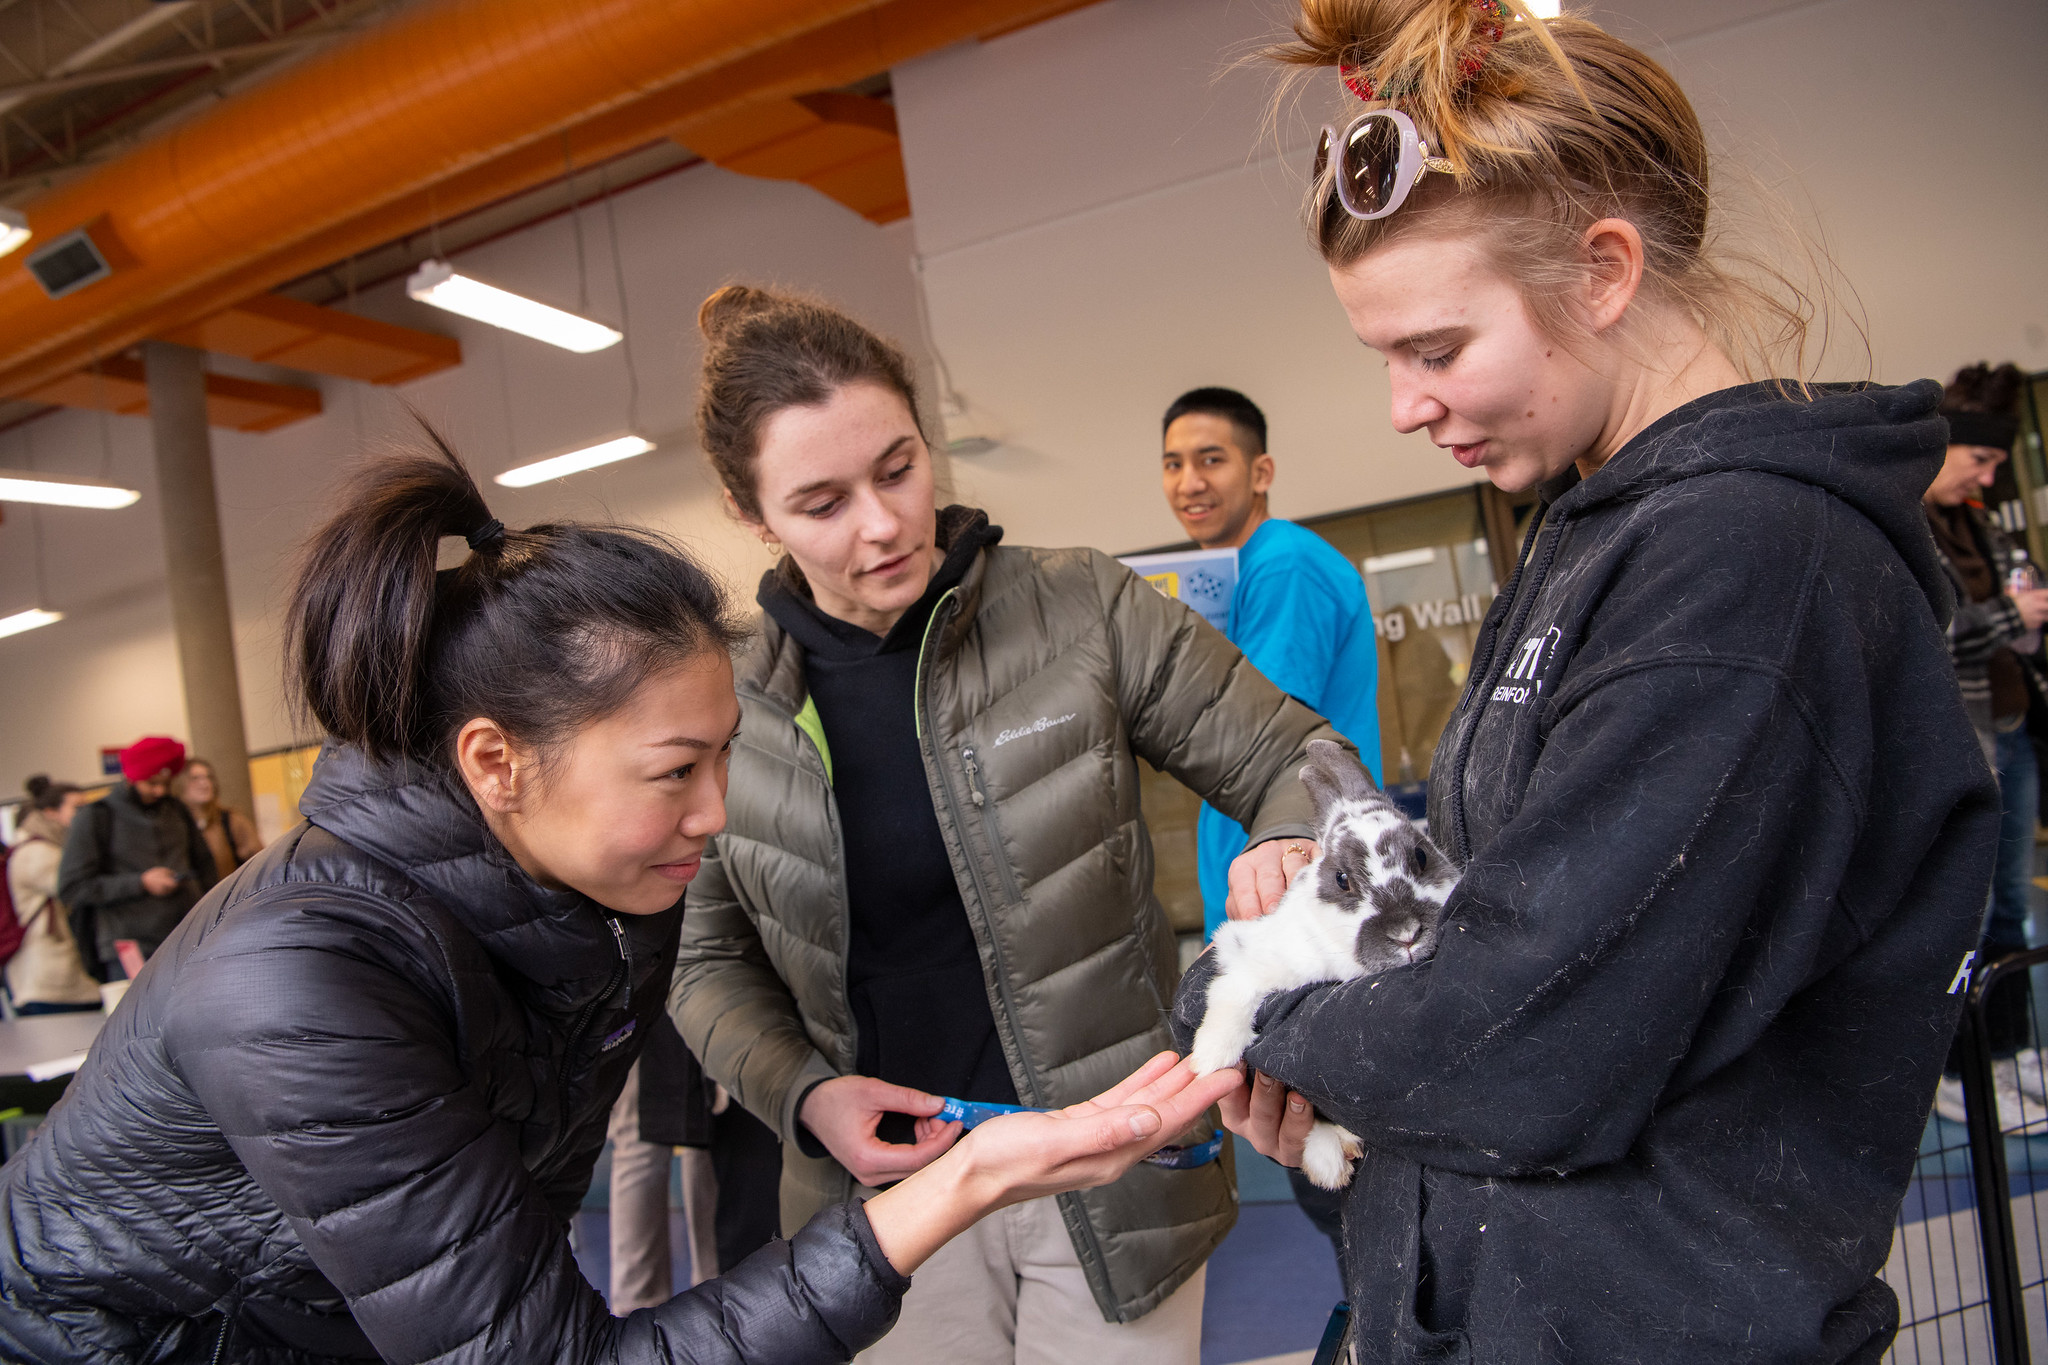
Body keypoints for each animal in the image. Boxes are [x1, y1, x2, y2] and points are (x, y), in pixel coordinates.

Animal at [1187, 740, 1458, 1186]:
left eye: (1421, 855)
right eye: (1342, 879)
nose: (1406, 933)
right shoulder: (1247, 954)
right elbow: (1231, 992)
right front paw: (1211, 1058)